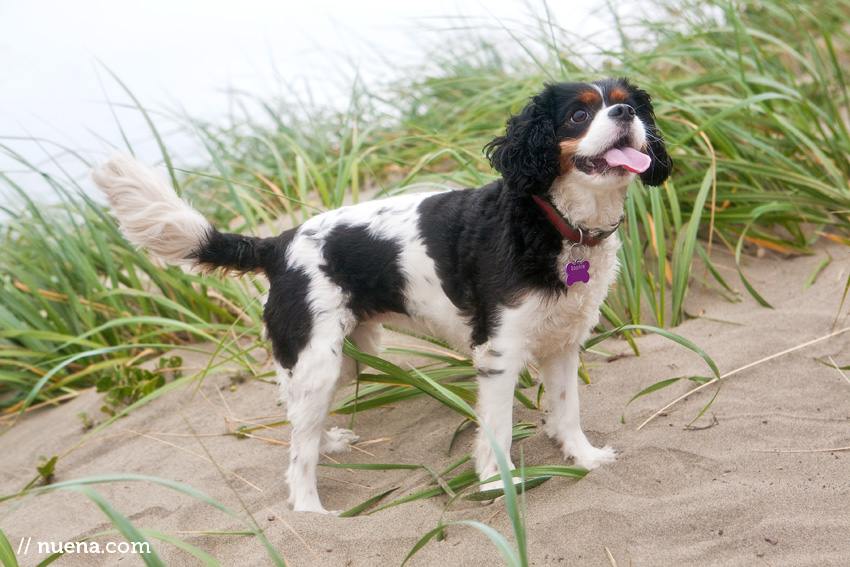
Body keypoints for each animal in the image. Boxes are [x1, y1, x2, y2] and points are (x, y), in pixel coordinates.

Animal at [93, 77, 668, 516]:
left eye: (630, 104)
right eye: (578, 114)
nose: (624, 112)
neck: (556, 223)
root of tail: (278, 243)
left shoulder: (563, 343)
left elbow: (568, 411)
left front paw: (584, 459)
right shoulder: (499, 354)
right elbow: (499, 432)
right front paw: (494, 487)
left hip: (340, 355)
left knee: (298, 417)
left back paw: (326, 441)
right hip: (319, 357)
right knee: (296, 458)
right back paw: (313, 513)